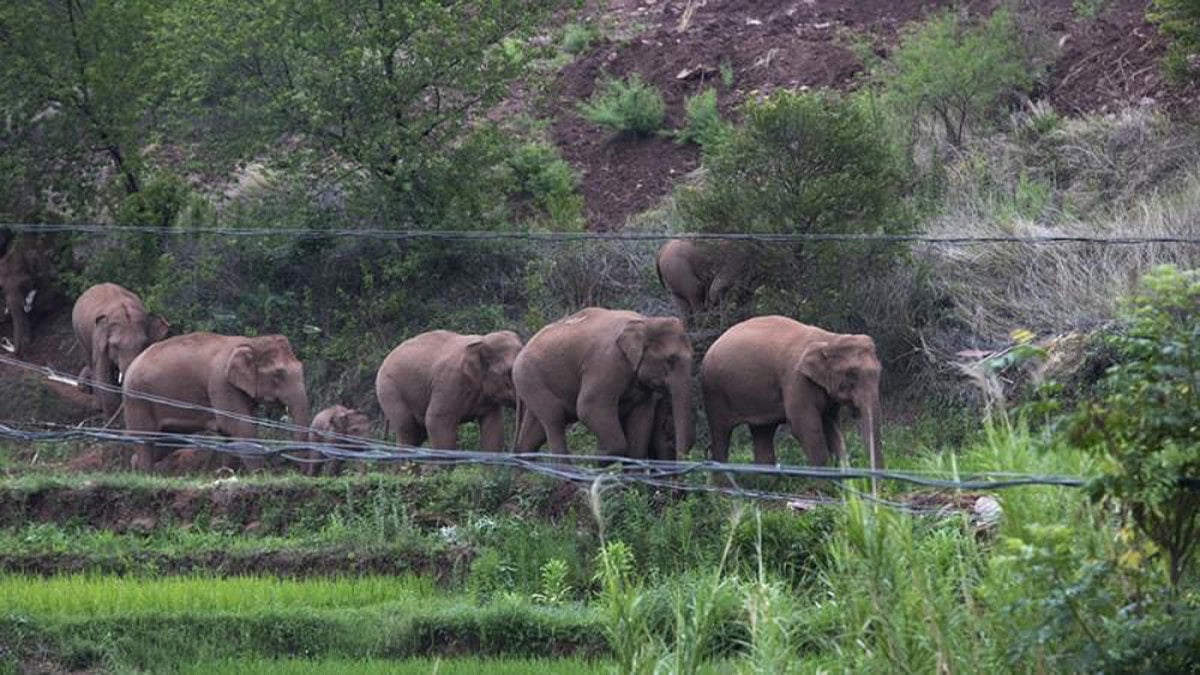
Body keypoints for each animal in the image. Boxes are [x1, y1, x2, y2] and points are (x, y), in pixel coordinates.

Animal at [71, 283, 170, 418]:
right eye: (115, 346)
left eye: (143, 344)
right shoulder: (100, 339)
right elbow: (103, 373)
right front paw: (112, 417)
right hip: (78, 333)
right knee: (90, 361)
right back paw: (98, 407)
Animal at [122, 332, 310, 472]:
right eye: (278, 374)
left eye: (301, 368)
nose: (302, 473)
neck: (251, 342)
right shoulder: (221, 382)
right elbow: (238, 425)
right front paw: (260, 474)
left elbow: (232, 431)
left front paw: (226, 473)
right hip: (138, 398)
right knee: (146, 438)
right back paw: (146, 473)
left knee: (167, 440)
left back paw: (135, 466)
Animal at [375, 330, 523, 451]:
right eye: (508, 371)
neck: (482, 340)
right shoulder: (449, 382)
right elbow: (436, 420)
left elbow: (494, 426)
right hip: (389, 390)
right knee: (408, 430)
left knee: (418, 434)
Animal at [513, 307, 695, 460]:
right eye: (670, 360)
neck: (645, 322)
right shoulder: (606, 361)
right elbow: (588, 407)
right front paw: (599, 457)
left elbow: (642, 418)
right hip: (530, 379)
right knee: (554, 419)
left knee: (534, 433)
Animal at [701, 315, 883, 470]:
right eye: (852, 374)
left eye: (879, 371)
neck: (829, 339)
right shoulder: (796, 380)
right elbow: (803, 425)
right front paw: (826, 484)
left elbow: (830, 424)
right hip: (715, 391)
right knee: (721, 434)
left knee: (762, 431)